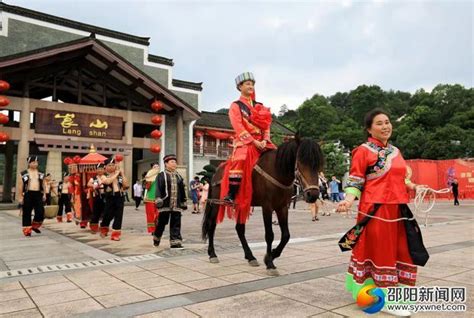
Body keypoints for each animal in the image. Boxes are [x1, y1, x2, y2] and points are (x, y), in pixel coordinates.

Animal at [202, 138, 324, 274]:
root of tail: (215, 173)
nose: (313, 195)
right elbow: (270, 235)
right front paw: (270, 263)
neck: (277, 172)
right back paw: (212, 254)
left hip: (242, 204)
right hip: (217, 204)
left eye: (318, 164)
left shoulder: (282, 207)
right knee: (211, 225)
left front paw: (271, 255)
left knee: (239, 229)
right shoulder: (267, 207)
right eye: (301, 162)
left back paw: (250, 257)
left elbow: (286, 235)